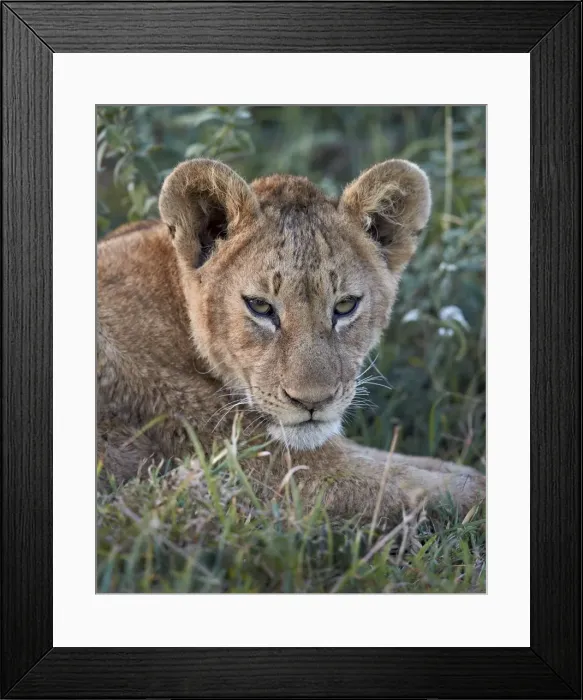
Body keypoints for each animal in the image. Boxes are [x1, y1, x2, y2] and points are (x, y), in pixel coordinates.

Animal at [97, 158, 485, 524]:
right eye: (260, 306)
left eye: (345, 306)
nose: (313, 402)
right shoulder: (269, 477)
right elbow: (434, 490)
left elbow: (413, 462)